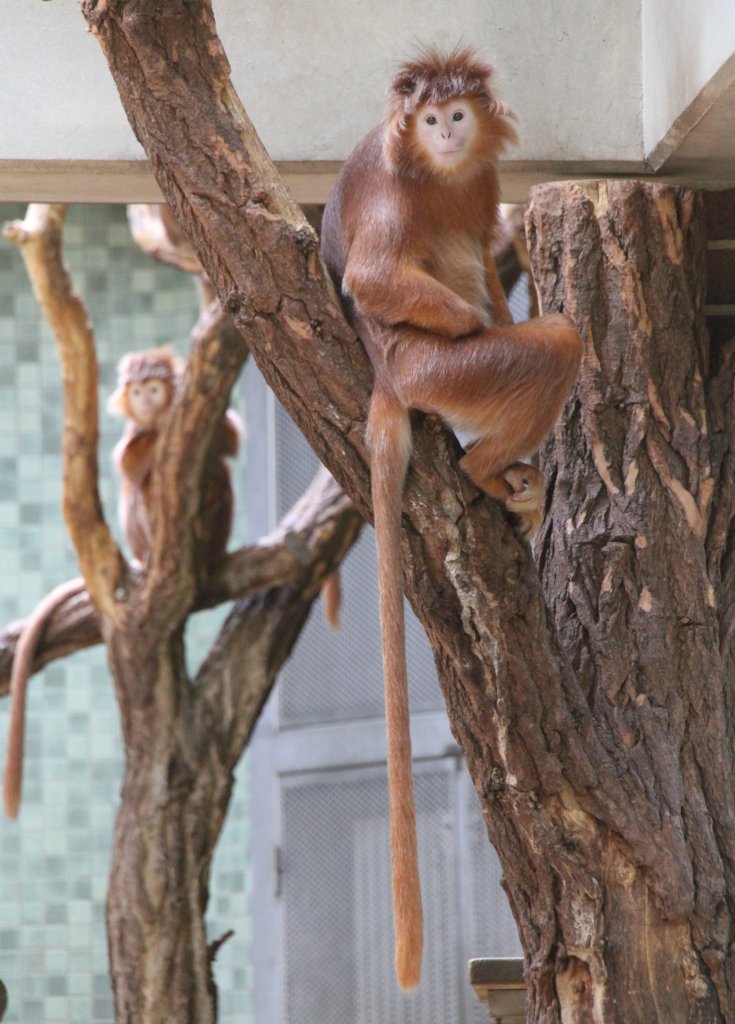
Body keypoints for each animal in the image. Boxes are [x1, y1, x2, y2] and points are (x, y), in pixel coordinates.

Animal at [319, 44, 585, 987]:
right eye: (426, 119)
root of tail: (386, 381)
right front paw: (472, 314)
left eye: (456, 116)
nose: (440, 130)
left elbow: (478, 246)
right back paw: (481, 469)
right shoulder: (395, 184)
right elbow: (373, 277)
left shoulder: (481, 186)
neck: (438, 172)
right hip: (438, 372)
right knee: (555, 342)